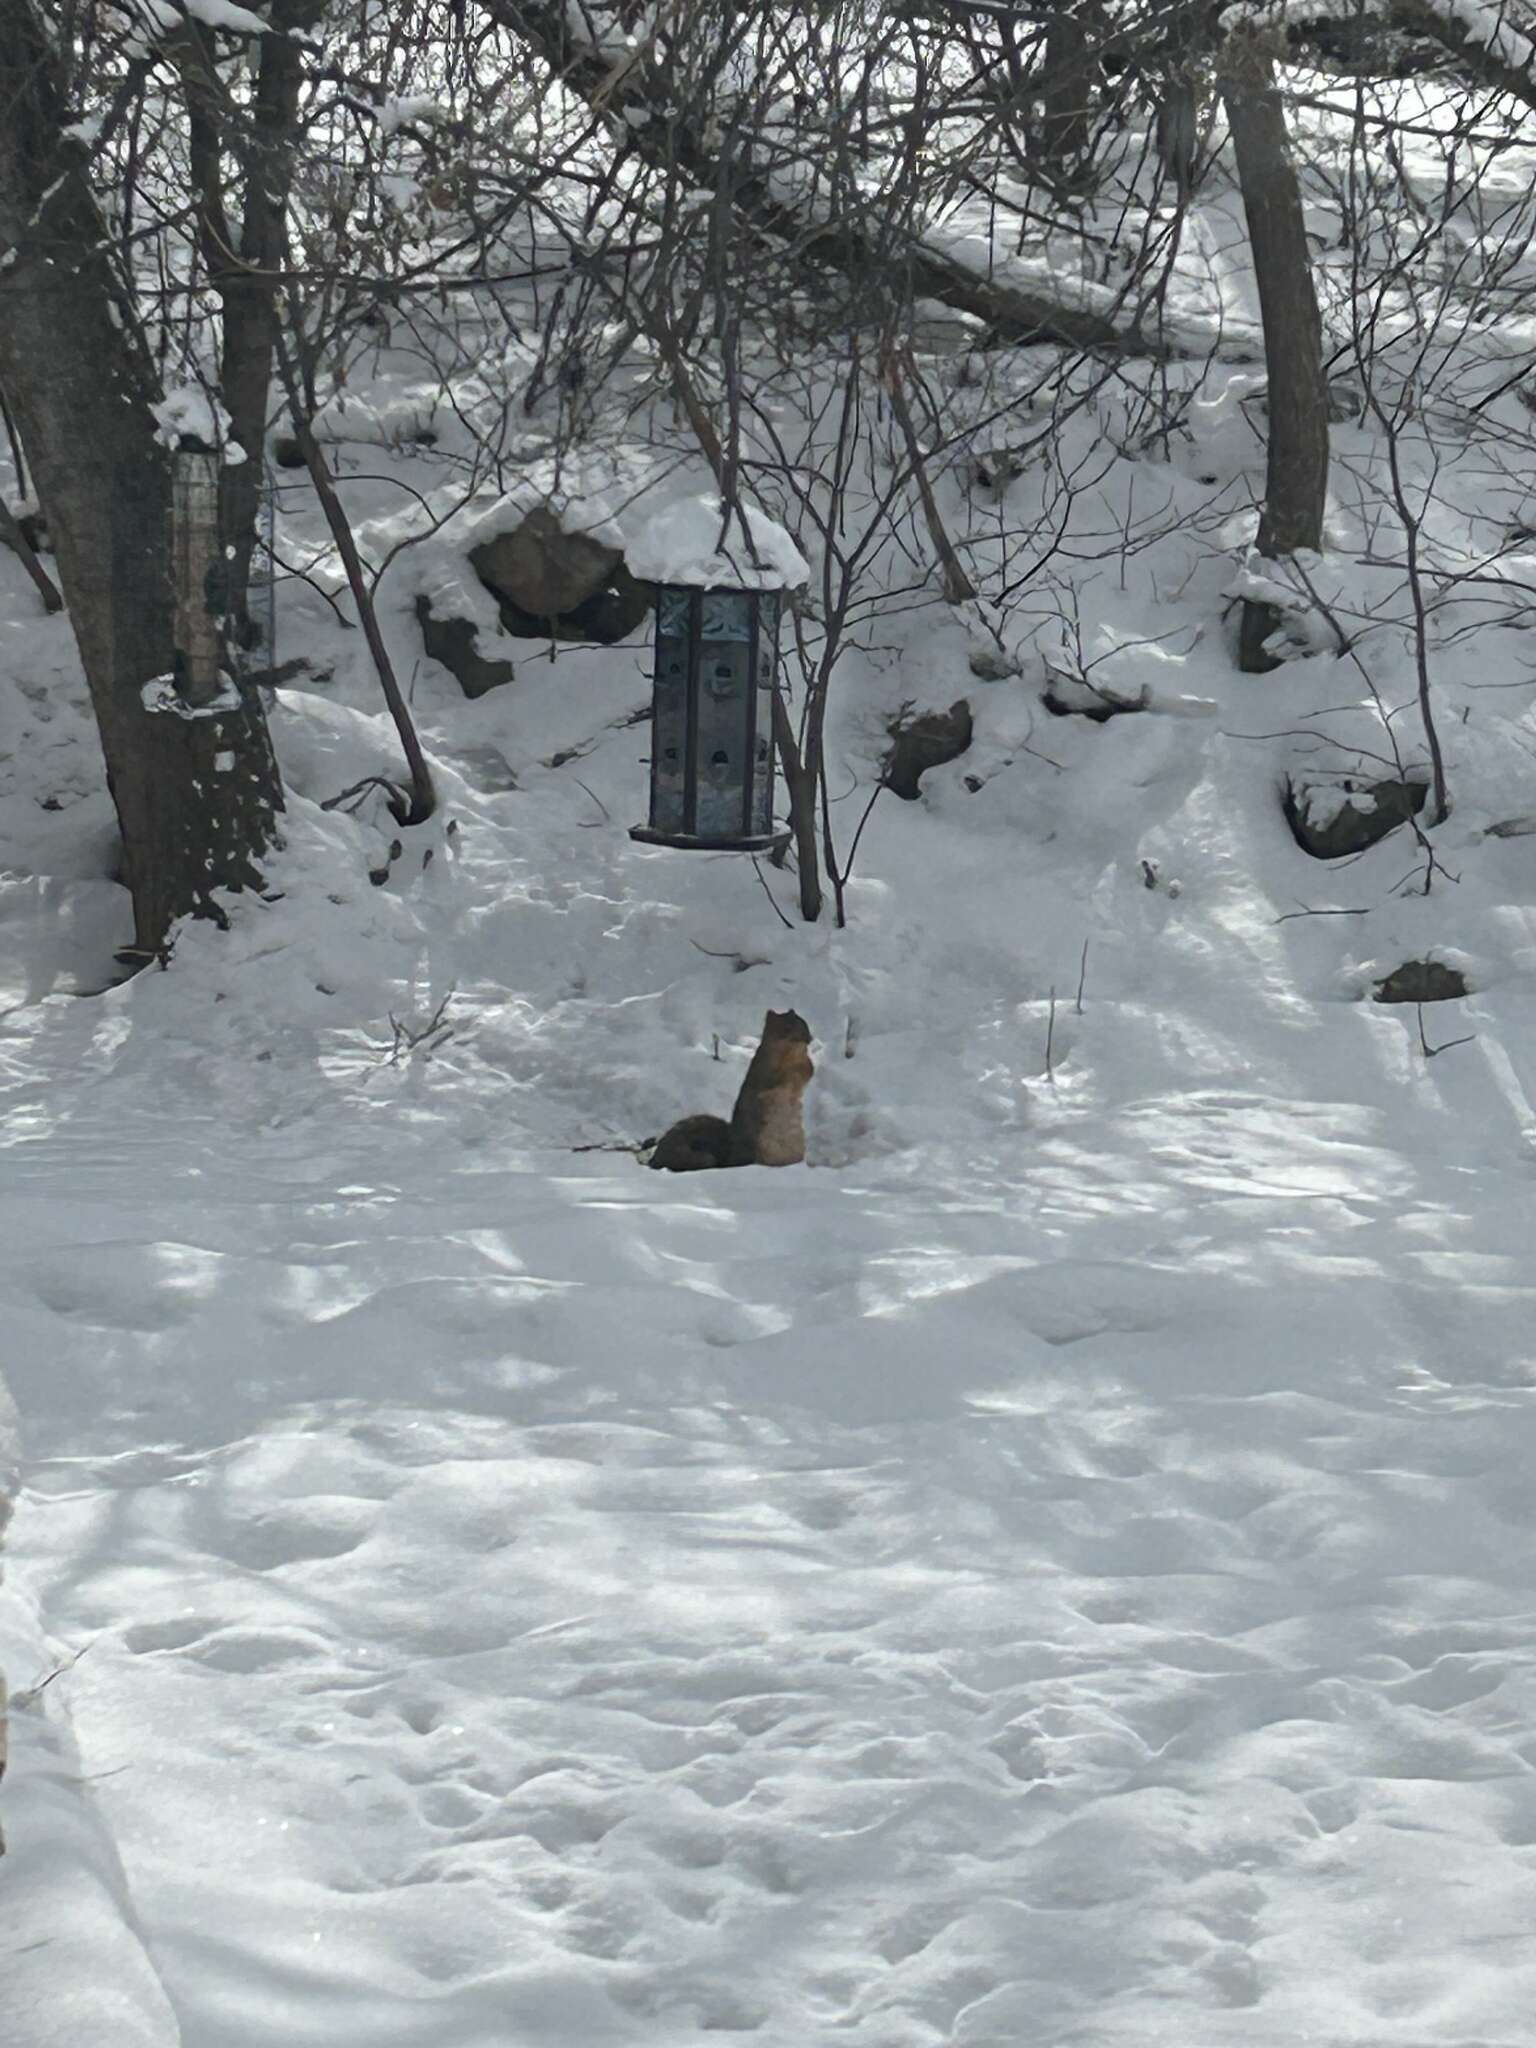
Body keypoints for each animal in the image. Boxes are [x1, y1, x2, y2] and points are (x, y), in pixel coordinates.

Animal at [651, 1007, 819, 1171]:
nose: (808, 1038)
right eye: (785, 1027)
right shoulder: (765, 1071)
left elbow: (807, 1073)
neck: (789, 1052)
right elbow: (778, 1080)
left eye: (803, 1022)